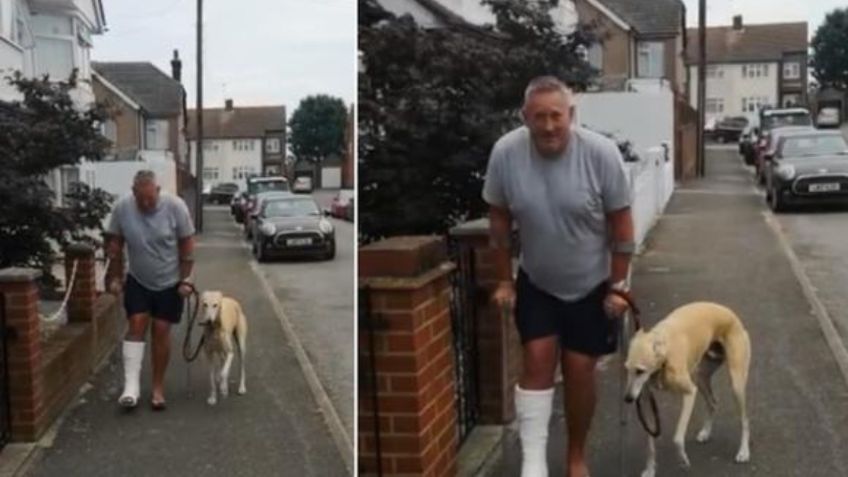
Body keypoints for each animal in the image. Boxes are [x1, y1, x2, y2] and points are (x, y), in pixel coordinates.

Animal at [624, 302, 748, 476]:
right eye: (626, 369)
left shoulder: (690, 392)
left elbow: (677, 437)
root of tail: (732, 314)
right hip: (701, 376)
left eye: (640, 371)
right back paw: (706, 432)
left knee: (744, 420)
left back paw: (744, 451)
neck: (665, 356)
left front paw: (682, 459)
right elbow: (649, 443)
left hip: (736, 383)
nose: (628, 398)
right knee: (713, 402)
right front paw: (650, 469)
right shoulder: (648, 402)